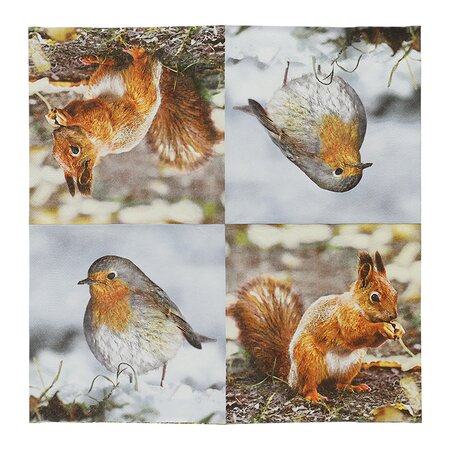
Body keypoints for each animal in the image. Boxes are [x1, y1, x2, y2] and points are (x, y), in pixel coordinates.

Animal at [45, 47, 221, 195]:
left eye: (75, 150)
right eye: (55, 156)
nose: (56, 133)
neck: (93, 143)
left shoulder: (99, 120)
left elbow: (89, 116)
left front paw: (64, 118)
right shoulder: (82, 105)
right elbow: (74, 105)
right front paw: (52, 117)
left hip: (138, 87)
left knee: (137, 67)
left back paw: (133, 54)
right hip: (106, 78)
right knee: (116, 65)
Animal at [227, 251, 406, 402]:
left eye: (395, 292)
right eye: (374, 297)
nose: (393, 316)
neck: (358, 306)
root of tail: (291, 375)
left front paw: (399, 328)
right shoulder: (344, 316)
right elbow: (354, 334)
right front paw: (383, 327)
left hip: (352, 363)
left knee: (339, 384)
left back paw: (353, 387)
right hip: (309, 360)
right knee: (306, 387)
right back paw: (314, 396)